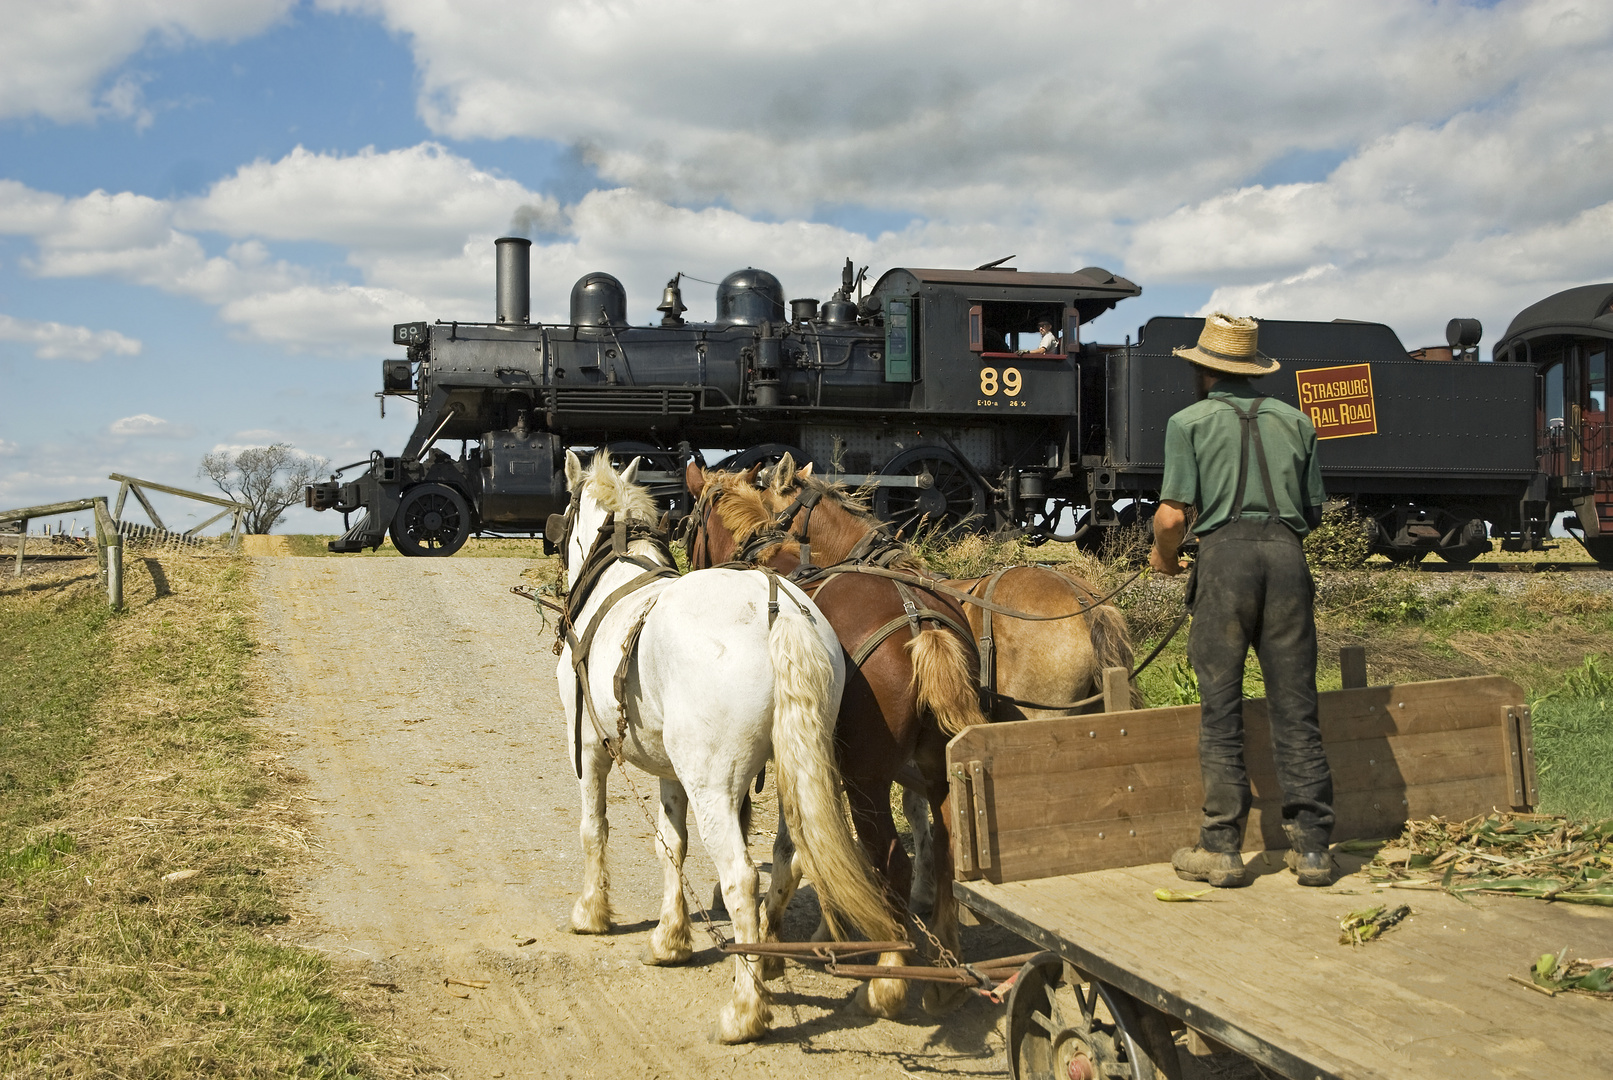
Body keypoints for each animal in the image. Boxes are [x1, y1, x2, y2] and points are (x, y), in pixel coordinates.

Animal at [554, 451, 903, 1044]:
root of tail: (777, 610)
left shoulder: (591, 748)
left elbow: (593, 829)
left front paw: (592, 912)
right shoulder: (671, 769)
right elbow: (670, 844)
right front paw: (671, 938)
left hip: (714, 783)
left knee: (741, 877)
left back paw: (746, 1009)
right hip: (794, 766)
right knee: (790, 857)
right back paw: (777, 959)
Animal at [680, 464, 980, 1018]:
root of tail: (919, 620)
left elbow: (792, 848)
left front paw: (777, 942)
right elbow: (807, 849)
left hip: (867, 781)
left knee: (894, 864)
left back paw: (886, 979)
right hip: (938, 772)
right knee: (946, 853)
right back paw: (944, 971)